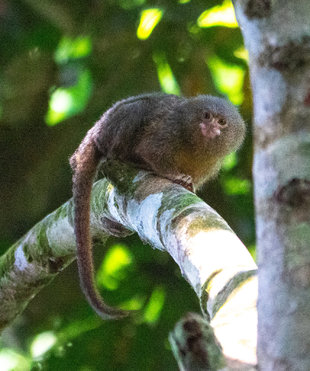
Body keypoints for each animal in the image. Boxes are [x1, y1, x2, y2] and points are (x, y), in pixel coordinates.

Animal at [69, 93, 245, 320]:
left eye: (221, 122)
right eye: (206, 115)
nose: (210, 126)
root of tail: (94, 134)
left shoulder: (209, 166)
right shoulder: (168, 131)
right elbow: (150, 151)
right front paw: (173, 175)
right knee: (136, 113)